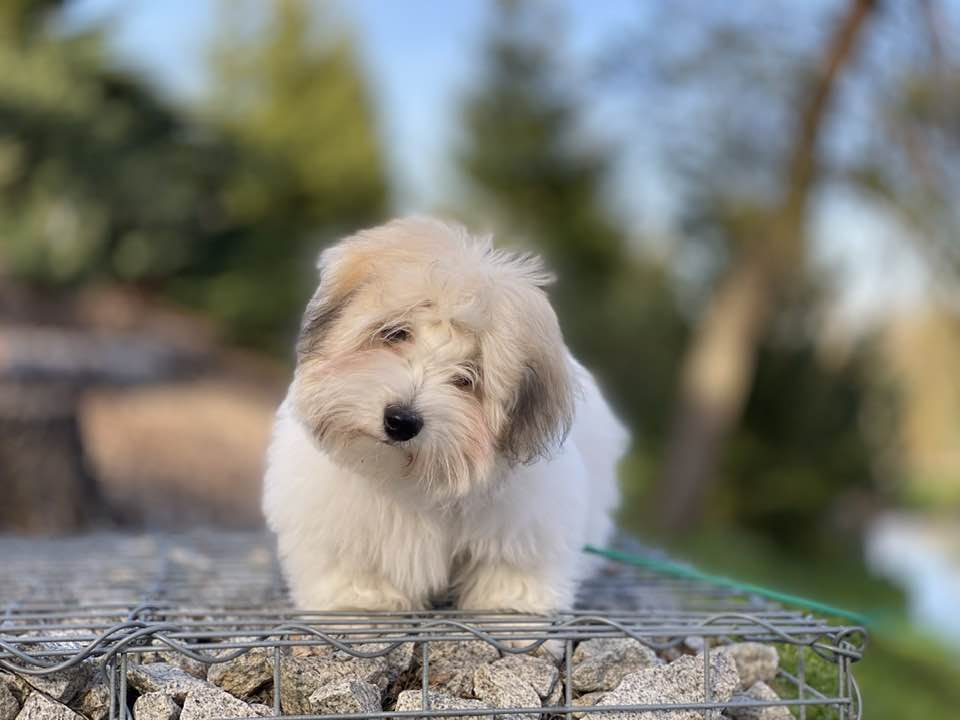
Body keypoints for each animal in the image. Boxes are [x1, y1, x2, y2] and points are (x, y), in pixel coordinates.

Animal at [262, 215, 632, 612]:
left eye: (468, 377)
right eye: (395, 333)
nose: (401, 420)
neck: (402, 477)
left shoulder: (523, 523)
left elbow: (510, 565)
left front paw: (509, 600)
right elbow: (352, 563)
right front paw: (361, 597)